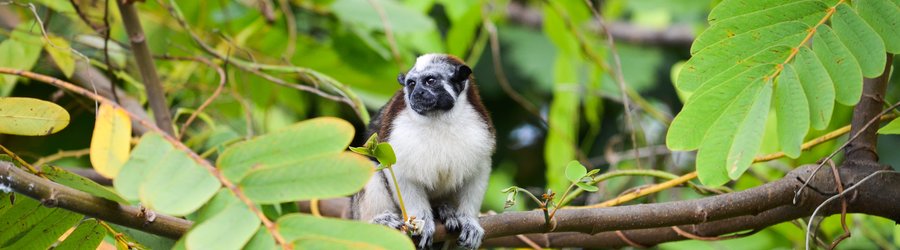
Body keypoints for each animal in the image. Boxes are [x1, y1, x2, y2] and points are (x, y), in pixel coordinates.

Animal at [352, 53, 496, 249]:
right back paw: (380, 220)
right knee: (369, 165)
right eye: (412, 84)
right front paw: (423, 222)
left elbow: (478, 172)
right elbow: (401, 174)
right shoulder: (397, 132)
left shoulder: (480, 130)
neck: (438, 118)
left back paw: (445, 210)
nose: (417, 93)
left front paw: (469, 221)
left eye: (430, 81)